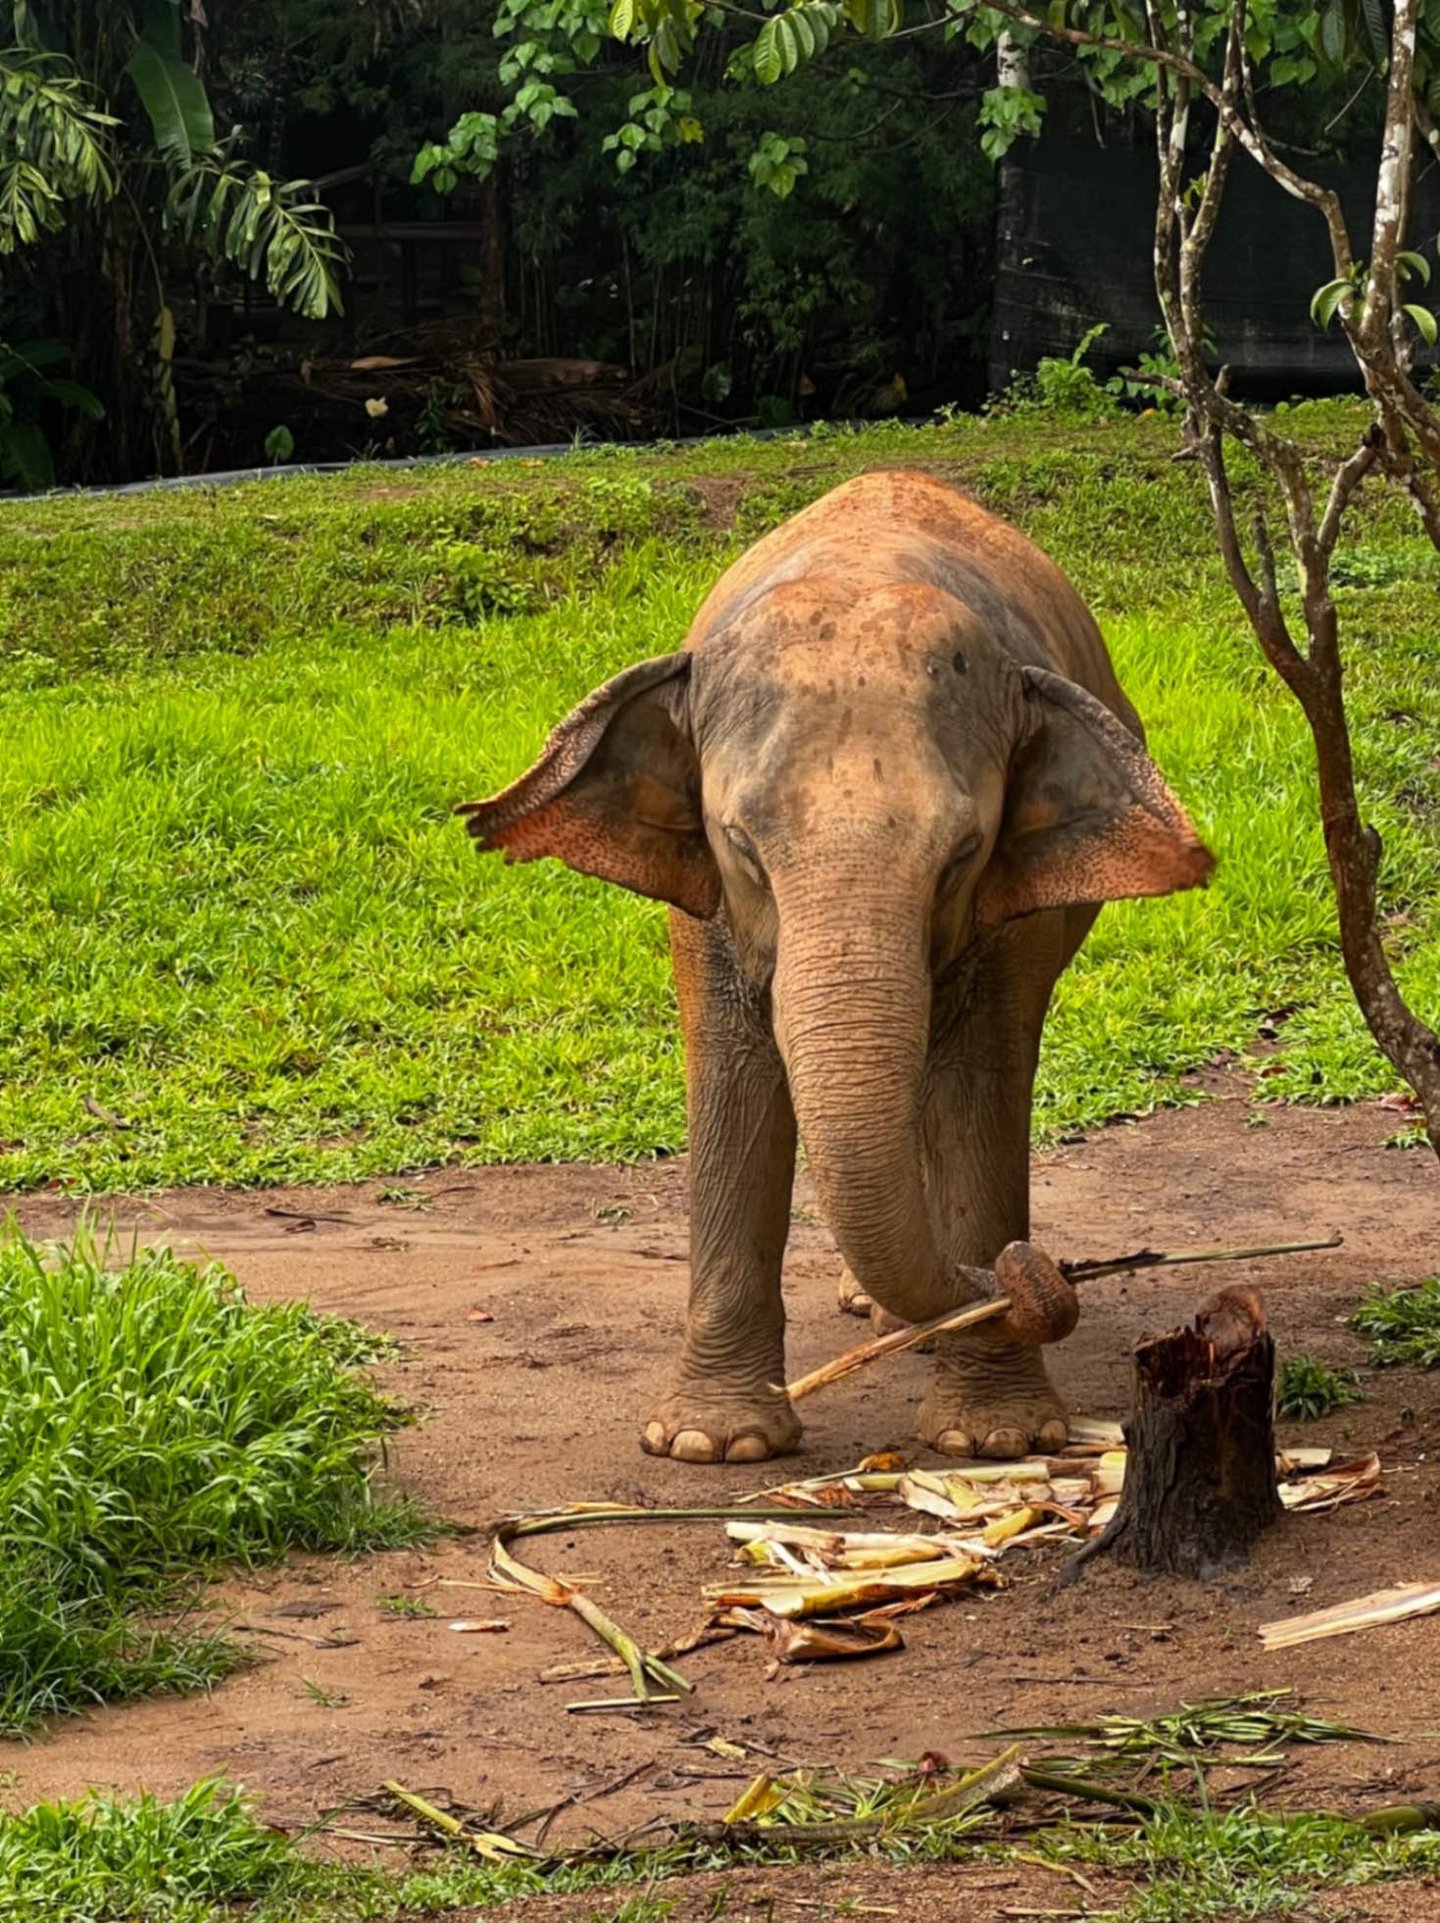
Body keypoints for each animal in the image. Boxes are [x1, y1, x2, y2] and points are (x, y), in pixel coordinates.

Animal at [459, 470, 1214, 1464]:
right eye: (741, 843)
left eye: (962, 853)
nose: (1029, 1272)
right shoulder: (705, 911)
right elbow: (733, 1081)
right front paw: (709, 1444)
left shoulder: (1011, 920)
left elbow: (982, 1083)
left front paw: (994, 1439)